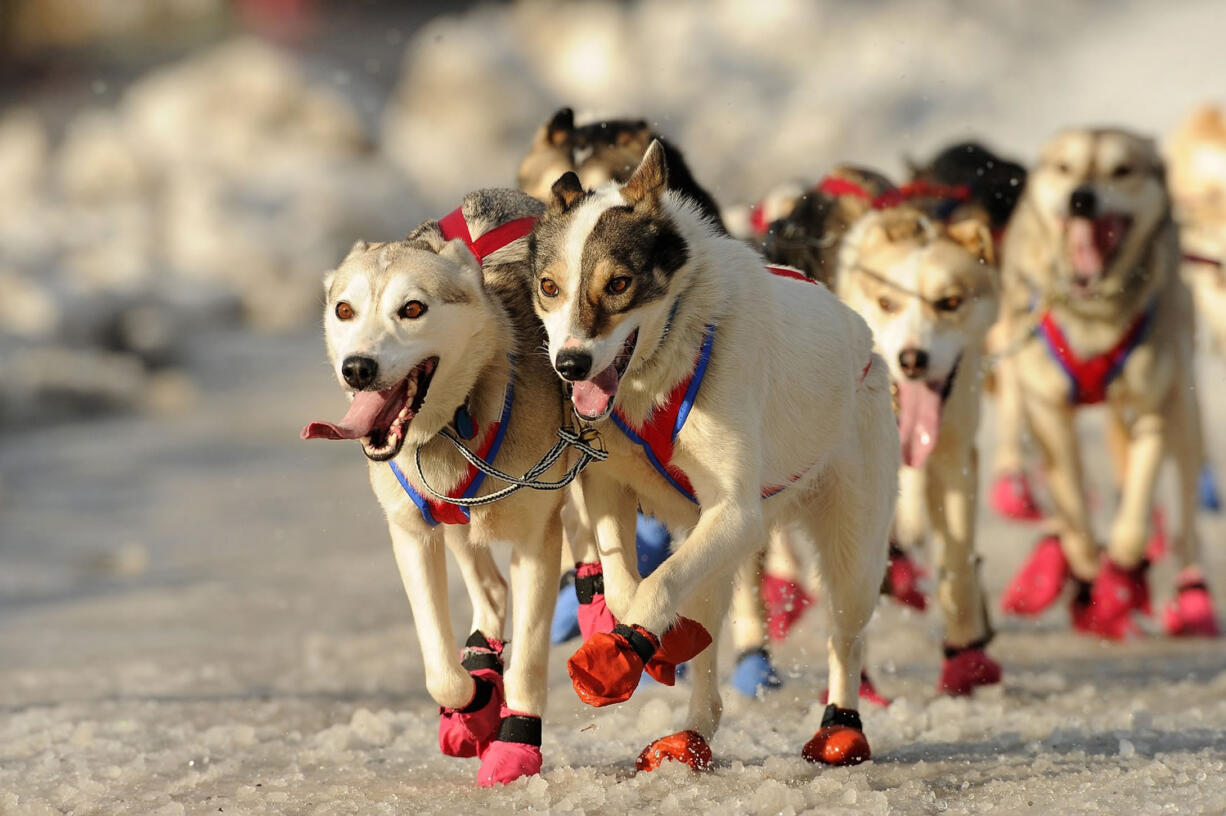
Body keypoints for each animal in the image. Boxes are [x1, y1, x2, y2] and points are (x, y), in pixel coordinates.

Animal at [995, 125, 1216, 637]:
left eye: (1122, 169)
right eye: (1064, 167)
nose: (1081, 198)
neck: (1093, 312)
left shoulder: (1156, 402)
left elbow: (1136, 501)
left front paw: (1122, 569)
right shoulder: (1048, 408)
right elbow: (1072, 500)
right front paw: (1084, 562)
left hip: (1184, 411)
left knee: (1186, 515)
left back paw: (1187, 590)